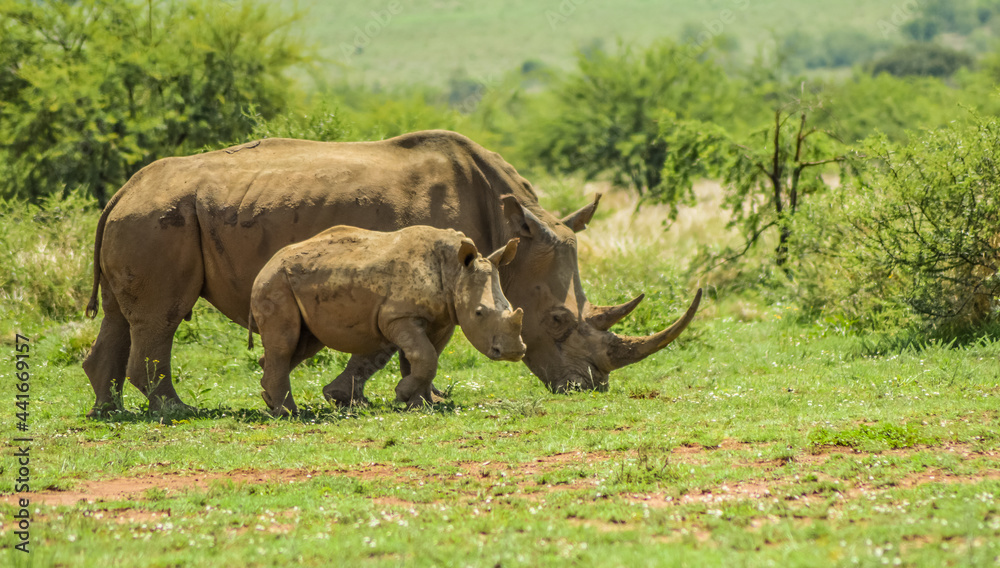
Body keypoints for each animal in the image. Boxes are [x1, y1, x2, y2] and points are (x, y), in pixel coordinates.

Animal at [248, 225, 525, 414]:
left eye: (510, 307)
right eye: (479, 313)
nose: (514, 352)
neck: (455, 271)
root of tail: (267, 263)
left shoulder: (443, 318)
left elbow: (423, 358)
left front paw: (421, 404)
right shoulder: (398, 316)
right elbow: (425, 357)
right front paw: (403, 394)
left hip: (296, 282)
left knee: (304, 344)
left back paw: (270, 401)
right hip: (275, 281)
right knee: (286, 344)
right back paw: (288, 413)